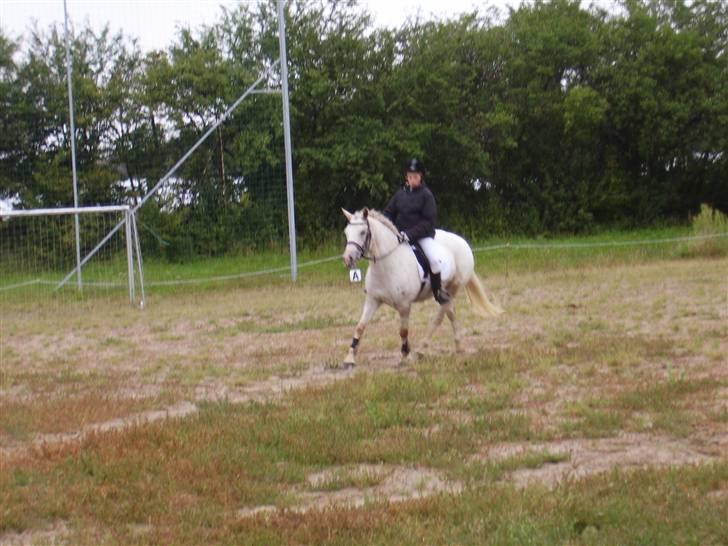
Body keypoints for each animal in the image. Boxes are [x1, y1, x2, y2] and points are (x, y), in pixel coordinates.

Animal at [340, 207, 500, 366]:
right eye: (346, 232)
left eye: (362, 232)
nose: (348, 258)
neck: (386, 264)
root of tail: (463, 243)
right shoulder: (373, 300)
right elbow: (360, 326)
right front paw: (349, 358)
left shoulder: (404, 305)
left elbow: (403, 331)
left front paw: (405, 356)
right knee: (449, 314)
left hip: (452, 288)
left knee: (443, 315)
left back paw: (427, 349)